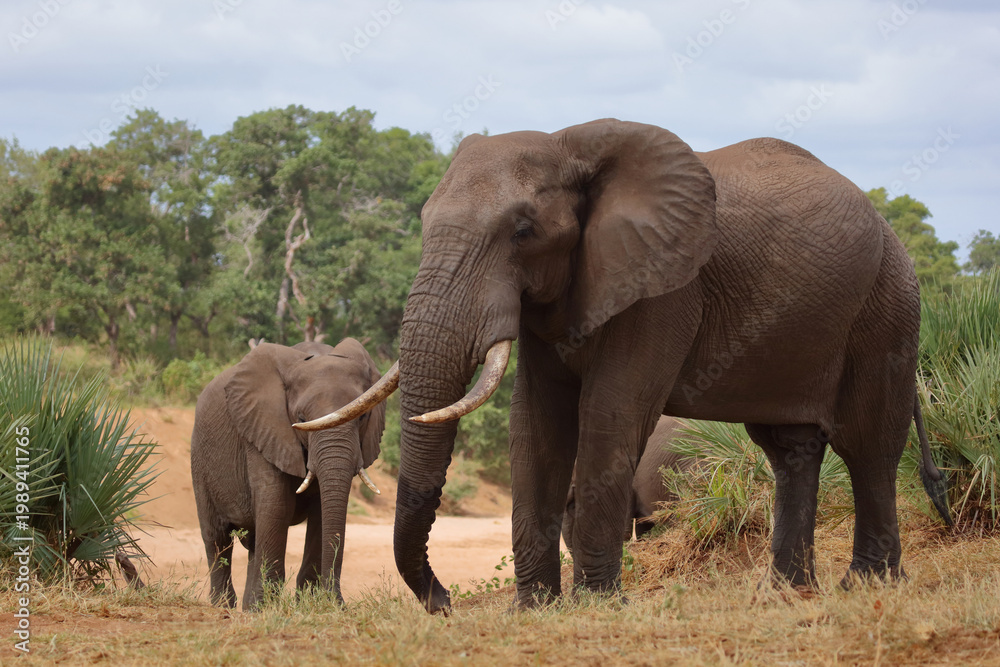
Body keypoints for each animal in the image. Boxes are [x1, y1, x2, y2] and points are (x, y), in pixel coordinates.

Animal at [191, 338, 385, 610]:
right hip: (200, 458)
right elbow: (277, 503)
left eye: (364, 415)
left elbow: (322, 512)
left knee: (253, 541)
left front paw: (311, 605)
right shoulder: (263, 428)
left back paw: (248, 607)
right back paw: (224, 606)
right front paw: (267, 609)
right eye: (301, 418)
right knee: (216, 537)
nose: (338, 602)